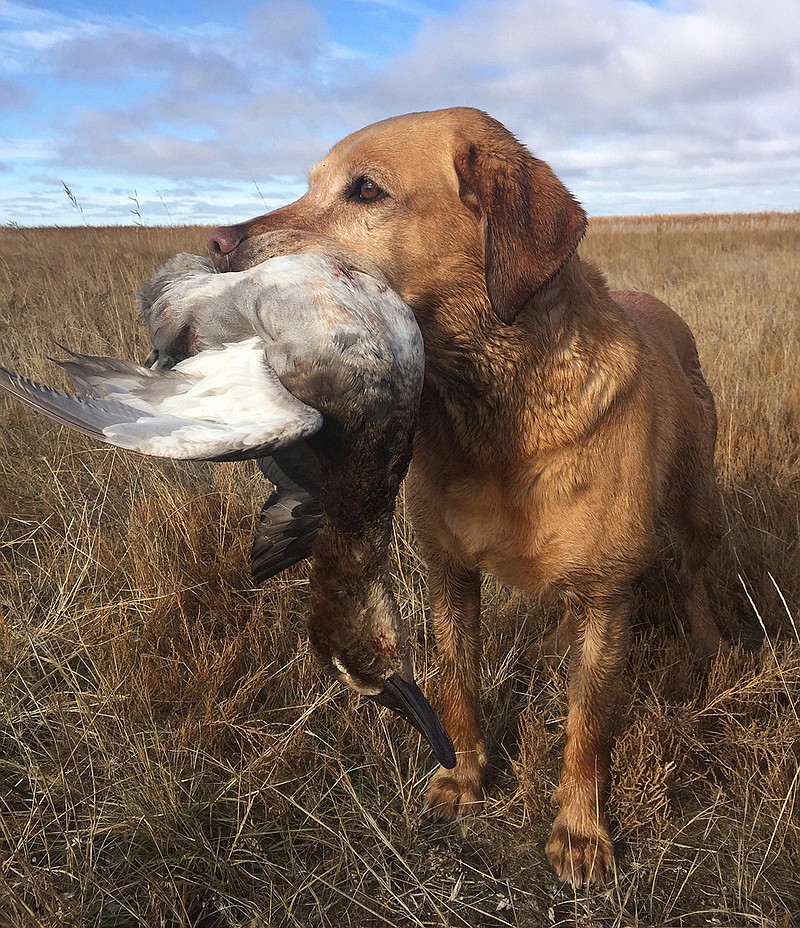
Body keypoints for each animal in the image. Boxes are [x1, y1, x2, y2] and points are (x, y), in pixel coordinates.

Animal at [206, 109, 724, 884]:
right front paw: (463, 779)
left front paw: (580, 831)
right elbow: (457, 683)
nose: (216, 241)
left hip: (695, 509)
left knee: (694, 579)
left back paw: (711, 645)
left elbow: (589, 725)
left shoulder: (609, 595)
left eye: (365, 189)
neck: (499, 412)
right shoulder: (449, 570)